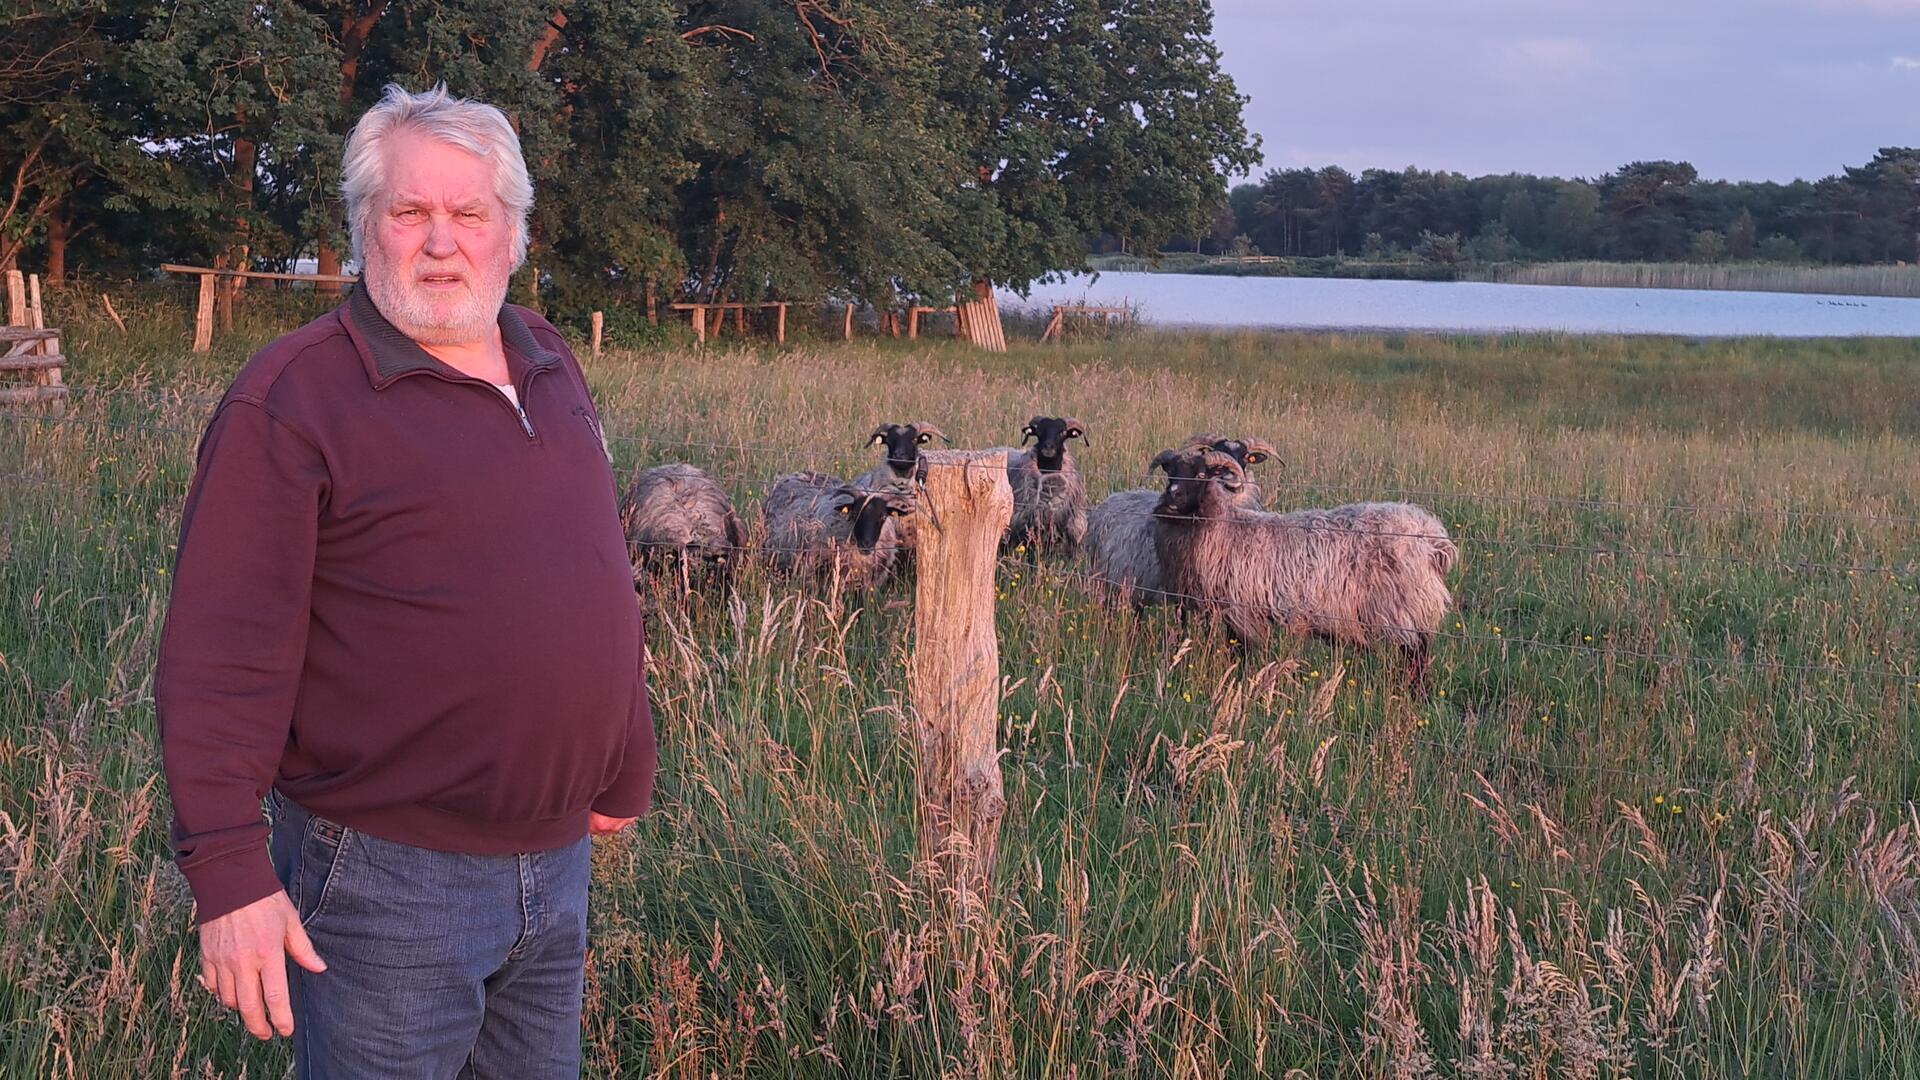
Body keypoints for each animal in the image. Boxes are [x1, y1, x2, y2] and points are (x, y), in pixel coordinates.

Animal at [1136, 447, 1451, 687]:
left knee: (1417, 657)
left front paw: (1240, 684)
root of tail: (1433, 536)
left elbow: (1242, 655)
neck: (1224, 528)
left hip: (1403, 609)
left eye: (1201, 475)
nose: (1171, 498)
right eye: (1170, 473)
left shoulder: (1242, 611)